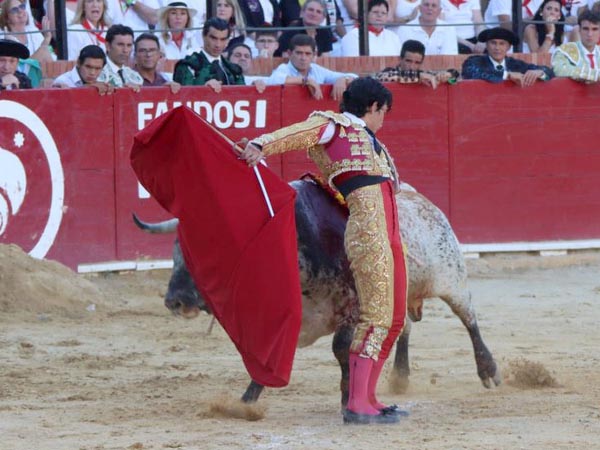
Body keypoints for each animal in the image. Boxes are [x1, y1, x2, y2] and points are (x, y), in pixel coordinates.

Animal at [134, 178, 500, 408]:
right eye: (175, 248)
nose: (174, 300)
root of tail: (418, 197)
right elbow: (266, 355)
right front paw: (246, 401)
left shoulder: (353, 307)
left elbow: (341, 348)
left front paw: (348, 397)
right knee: (404, 329)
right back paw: (399, 376)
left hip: (452, 277)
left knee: (469, 319)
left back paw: (489, 372)